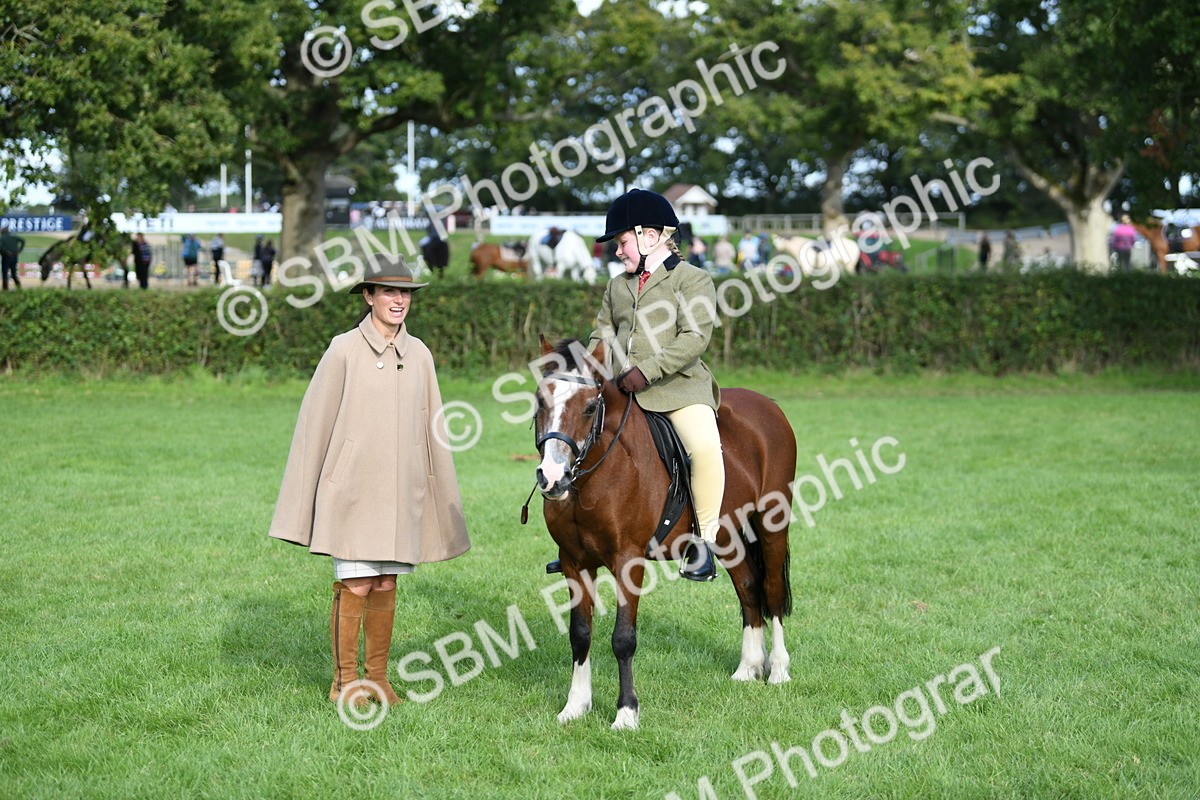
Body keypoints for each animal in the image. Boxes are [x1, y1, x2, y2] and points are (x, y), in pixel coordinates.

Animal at [533, 336, 797, 730]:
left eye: (590, 407)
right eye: (539, 401)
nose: (552, 477)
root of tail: (769, 405)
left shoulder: (628, 561)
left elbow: (623, 638)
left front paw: (626, 714)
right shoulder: (573, 562)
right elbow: (580, 635)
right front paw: (575, 707)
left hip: (771, 524)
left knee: (773, 590)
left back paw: (778, 670)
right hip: (727, 535)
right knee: (749, 588)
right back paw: (748, 668)